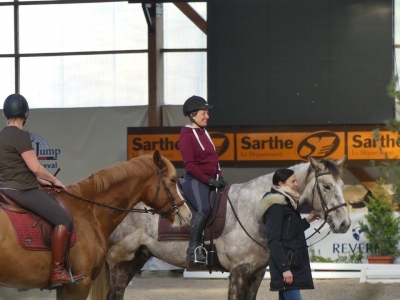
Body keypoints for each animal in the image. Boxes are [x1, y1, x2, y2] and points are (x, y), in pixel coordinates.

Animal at [90, 156, 350, 298]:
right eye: (327, 186)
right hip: (119, 261)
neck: (255, 208)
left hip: (135, 258)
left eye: (342, 185)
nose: (345, 223)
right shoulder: (239, 271)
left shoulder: (256, 272)